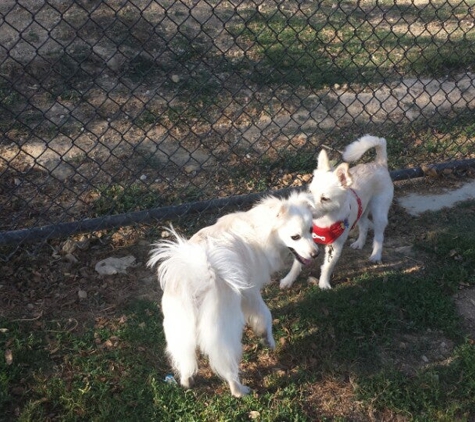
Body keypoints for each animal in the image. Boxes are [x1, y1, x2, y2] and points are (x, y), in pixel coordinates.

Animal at [149, 193, 320, 398]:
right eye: (295, 237)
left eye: (311, 230)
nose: (316, 253)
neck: (259, 231)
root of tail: (196, 277)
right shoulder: (250, 292)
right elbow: (265, 315)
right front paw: (268, 339)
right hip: (224, 333)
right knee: (227, 368)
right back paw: (240, 390)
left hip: (180, 330)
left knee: (184, 359)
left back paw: (186, 381)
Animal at [282, 135, 394, 290]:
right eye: (310, 191)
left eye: (325, 199)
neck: (323, 221)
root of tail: (379, 163)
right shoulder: (304, 241)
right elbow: (297, 262)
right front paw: (289, 279)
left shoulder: (334, 246)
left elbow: (327, 266)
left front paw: (323, 283)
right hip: (361, 212)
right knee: (364, 226)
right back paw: (359, 243)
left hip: (379, 213)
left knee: (379, 235)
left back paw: (376, 255)